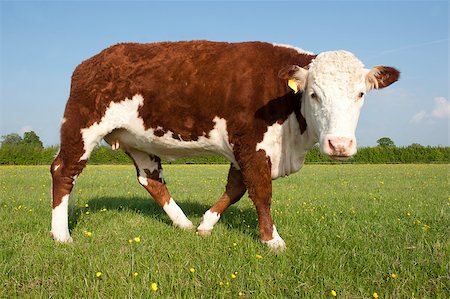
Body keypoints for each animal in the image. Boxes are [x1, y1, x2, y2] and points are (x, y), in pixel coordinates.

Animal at [51, 39, 400, 251]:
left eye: (361, 94)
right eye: (314, 94)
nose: (339, 144)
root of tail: (93, 61)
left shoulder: (242, 149)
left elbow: (236, 188)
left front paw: (206, 224)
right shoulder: (252, 143)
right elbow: (260, 192)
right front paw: (272, 241)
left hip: (137, 138)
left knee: (151, 180)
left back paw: (183, 224)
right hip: (81, 126)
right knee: (63, 171)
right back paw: (61, 235)